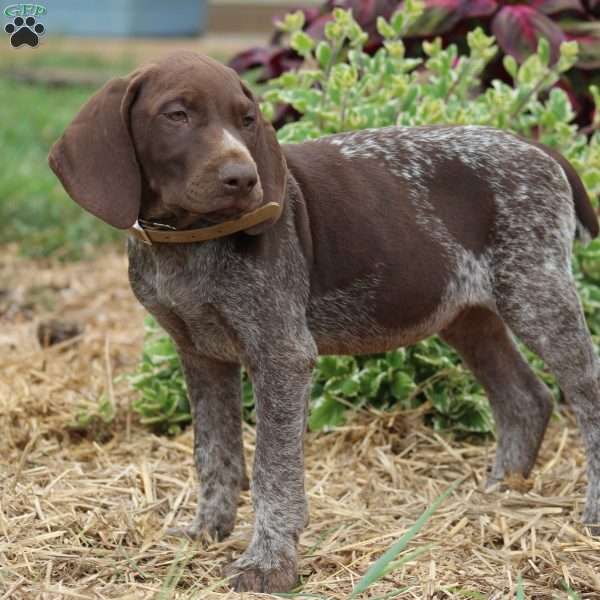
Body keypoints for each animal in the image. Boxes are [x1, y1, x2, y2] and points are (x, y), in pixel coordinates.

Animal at [49, 50, 596, 592]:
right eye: (176, 115)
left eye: (246, 120)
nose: (243, 179)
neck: (188, 241)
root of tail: (536, 147)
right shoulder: (200, 354)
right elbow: (215, 455)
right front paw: (207, 531)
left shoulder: (281, 354)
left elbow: (272, 470)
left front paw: (269, 563)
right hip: (467, 313)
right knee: (525, 398)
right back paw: (500, 493)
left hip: (536, 293)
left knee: (584, 396)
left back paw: (588, 511)